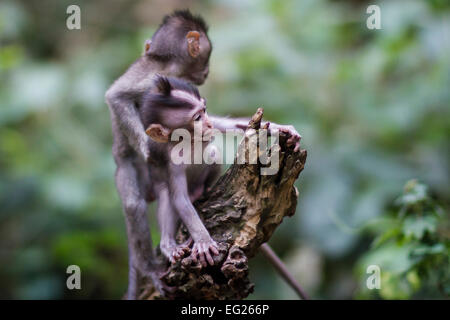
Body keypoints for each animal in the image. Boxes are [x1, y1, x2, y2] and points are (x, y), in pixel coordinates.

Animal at [139, 75, 220, 268]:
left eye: (205, 110)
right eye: (197, 117)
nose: (209, 123)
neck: (188, 142)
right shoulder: (173, 162)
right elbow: (179, 199)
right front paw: (203, 240)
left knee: (214, 153)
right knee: (167, 196)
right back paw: (168, 245)